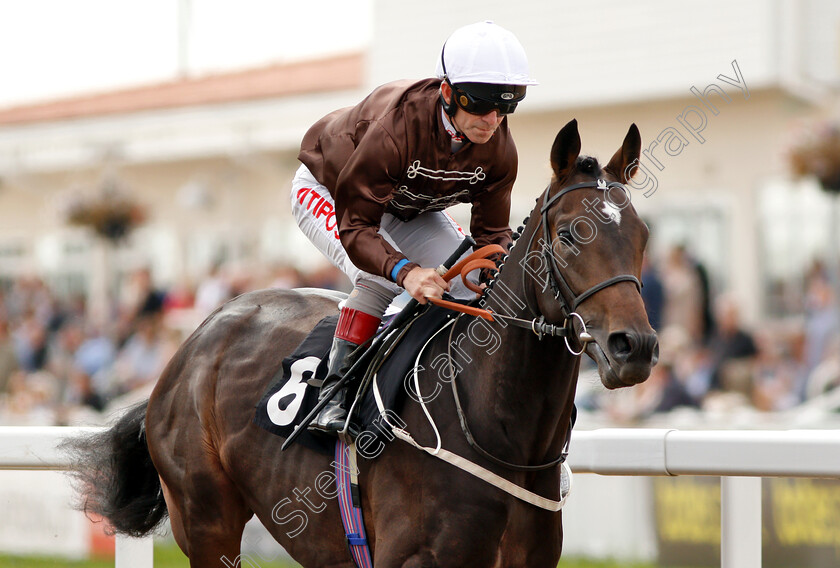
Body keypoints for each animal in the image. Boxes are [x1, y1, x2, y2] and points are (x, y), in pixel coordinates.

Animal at [64, 117, 656, 564]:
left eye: (644, 236)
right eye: (569, 234)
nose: (635, 347)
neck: (499, 429)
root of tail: (193, 342)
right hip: (206, 517)